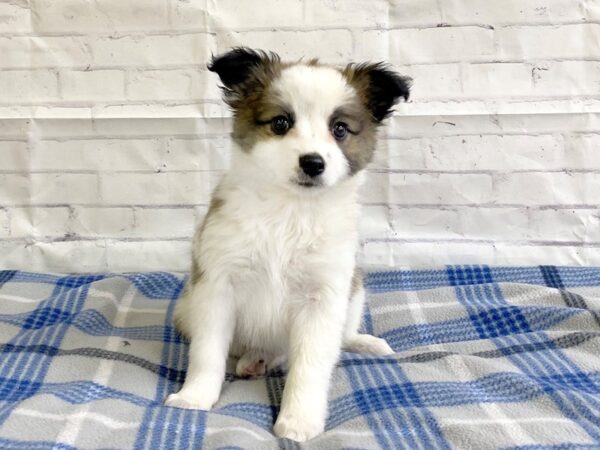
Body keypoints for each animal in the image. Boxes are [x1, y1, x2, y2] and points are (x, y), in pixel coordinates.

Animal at [168, 47, 412, 442]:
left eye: (339, 129)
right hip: (186, 309)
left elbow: (309, 366)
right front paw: (195, 397)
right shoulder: (217, 286)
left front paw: (298, 421)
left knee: (340, 338)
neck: (289, 212)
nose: (313, 163)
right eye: (281, 123)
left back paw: (361, 342)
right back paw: (254, 359)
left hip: (355, 292)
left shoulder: (323, 297)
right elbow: (208, 354)